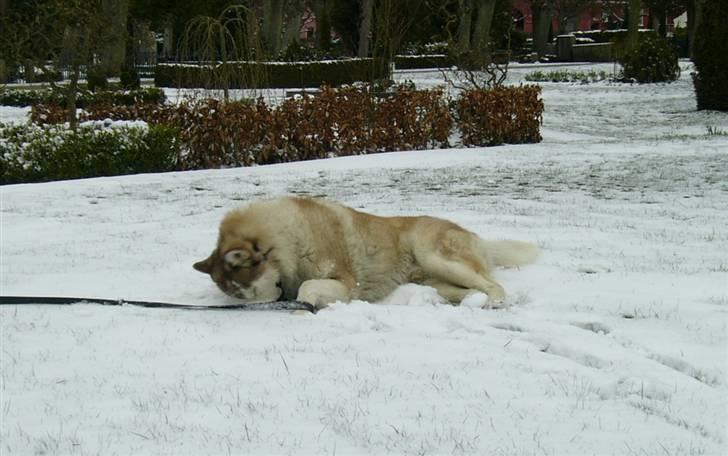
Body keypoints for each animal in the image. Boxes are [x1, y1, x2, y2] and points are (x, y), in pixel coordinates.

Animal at [195, 197, 540, 310]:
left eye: (247, 290)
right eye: (237, 295)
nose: (264, 306)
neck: (285, 239)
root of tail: (476, 236)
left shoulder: (347, 284)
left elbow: (308, 287)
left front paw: (301, 309)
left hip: (437, 257)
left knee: (494, 284)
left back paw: (493, 303)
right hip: (436, 281)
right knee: (467, 290)